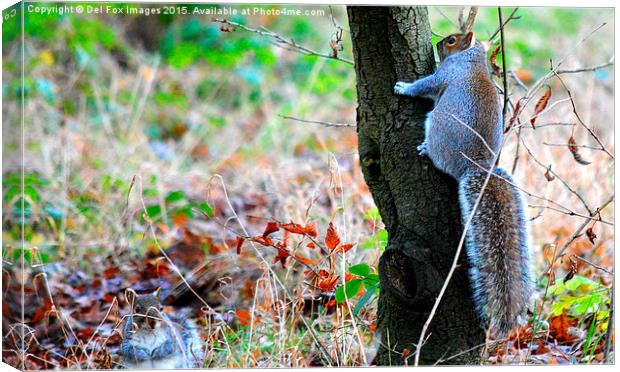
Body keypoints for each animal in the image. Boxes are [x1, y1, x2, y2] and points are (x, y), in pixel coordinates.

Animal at [398, 31, 532, 334]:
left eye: (451, 40)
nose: (437, 44)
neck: (472, 58)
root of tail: (476, 167)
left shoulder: (444, 75)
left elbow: (424, 86)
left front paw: (402, 86)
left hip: (435, 124)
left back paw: (426, 150)